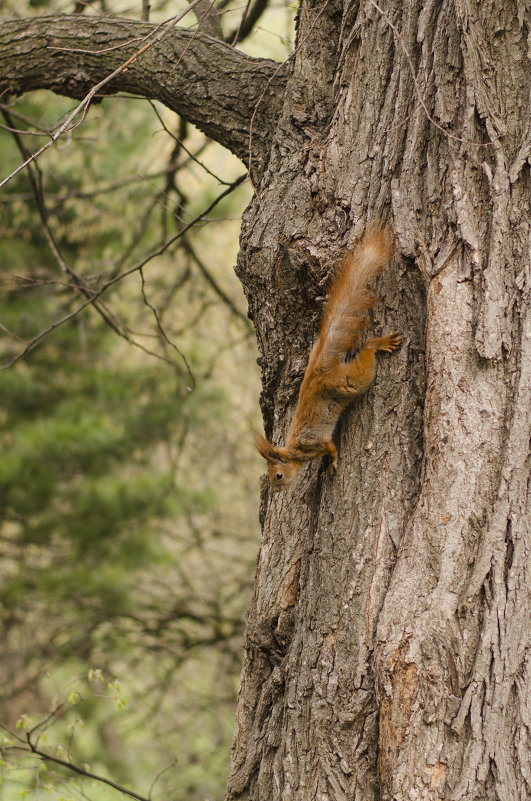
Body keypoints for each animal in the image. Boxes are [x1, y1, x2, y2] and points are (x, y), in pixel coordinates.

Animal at [256, 222, 402, 490]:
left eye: (278, 475)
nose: (277, 489)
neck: (294, 451)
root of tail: (318, 369)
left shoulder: (315, 443)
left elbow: (331, 447)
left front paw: (332, 463)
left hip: (349, 382)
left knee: (366, 354)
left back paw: (378, 344)